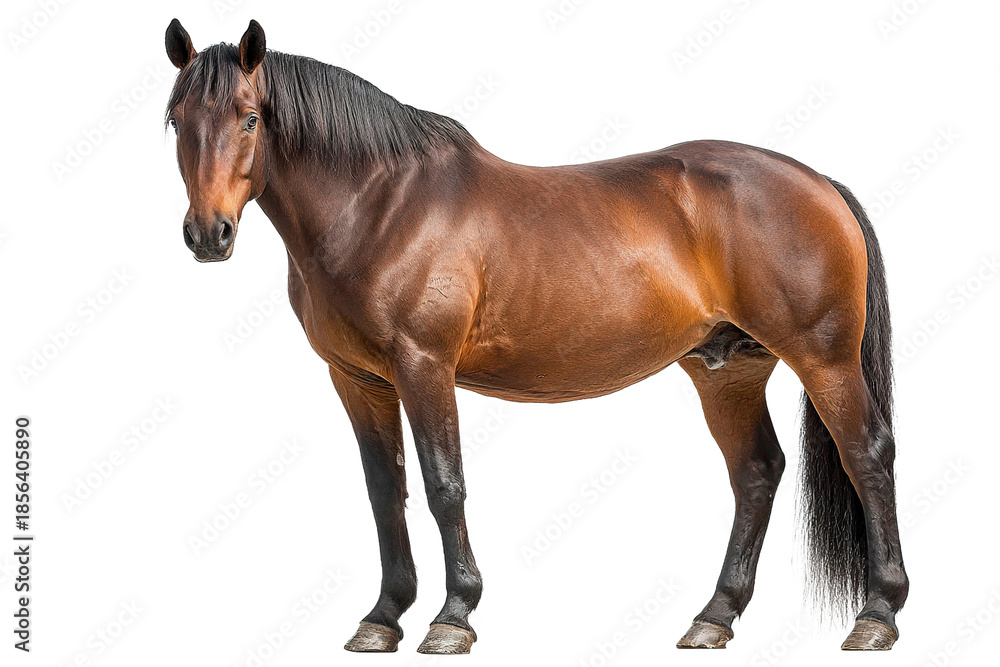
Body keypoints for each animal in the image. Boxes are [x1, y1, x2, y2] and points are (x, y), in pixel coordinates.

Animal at [163, 19, 908, 654]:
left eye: (249, 117)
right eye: (176, 119)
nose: (208, 235)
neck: (380, 204)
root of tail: (817, 183)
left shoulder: (423, 366)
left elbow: (444, 485)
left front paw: (453, 616)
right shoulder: (358, 378)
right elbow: (385, 489)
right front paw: (382, 617)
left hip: (824, 358)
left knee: (866, 455)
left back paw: (877, 614)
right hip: (728, 370)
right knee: (756, 472)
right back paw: (714, 616)